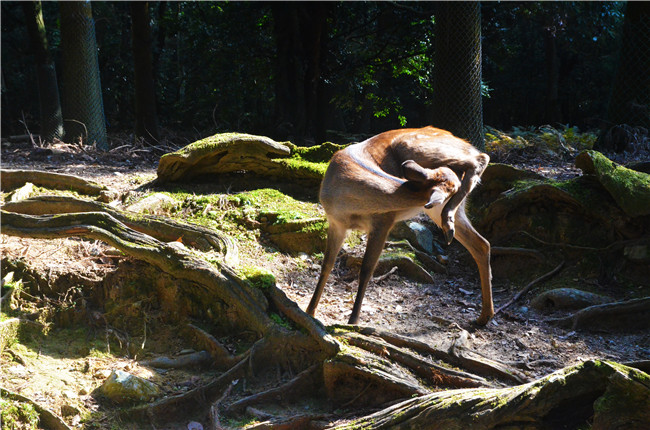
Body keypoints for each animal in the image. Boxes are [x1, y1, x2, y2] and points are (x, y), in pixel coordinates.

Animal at [306, 126, 494, 326]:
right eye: (454, 185)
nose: (460, 179)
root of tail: (462, 141)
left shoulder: (383, 221)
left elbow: (366, 269)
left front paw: (353, 320)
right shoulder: (335, 222)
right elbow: (327, 264)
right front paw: (310, 310)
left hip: (417, 147)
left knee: (481, 158)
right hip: (439, 206)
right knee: (482, 244)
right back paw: (484, 316)